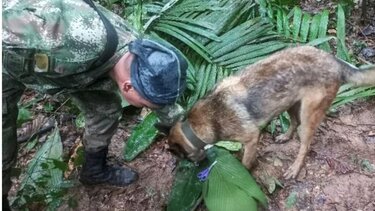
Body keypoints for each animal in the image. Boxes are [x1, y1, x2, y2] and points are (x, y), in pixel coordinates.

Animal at [168, 45, 375, 178]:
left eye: (182, 157)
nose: (198, 166)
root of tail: (335, 61)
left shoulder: (252, 137)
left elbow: (245, 162)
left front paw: (245, 173)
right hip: (290, 103)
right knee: (294, 122)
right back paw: (285, 136)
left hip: (308, 115)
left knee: (305, 145)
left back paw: (295, 168)